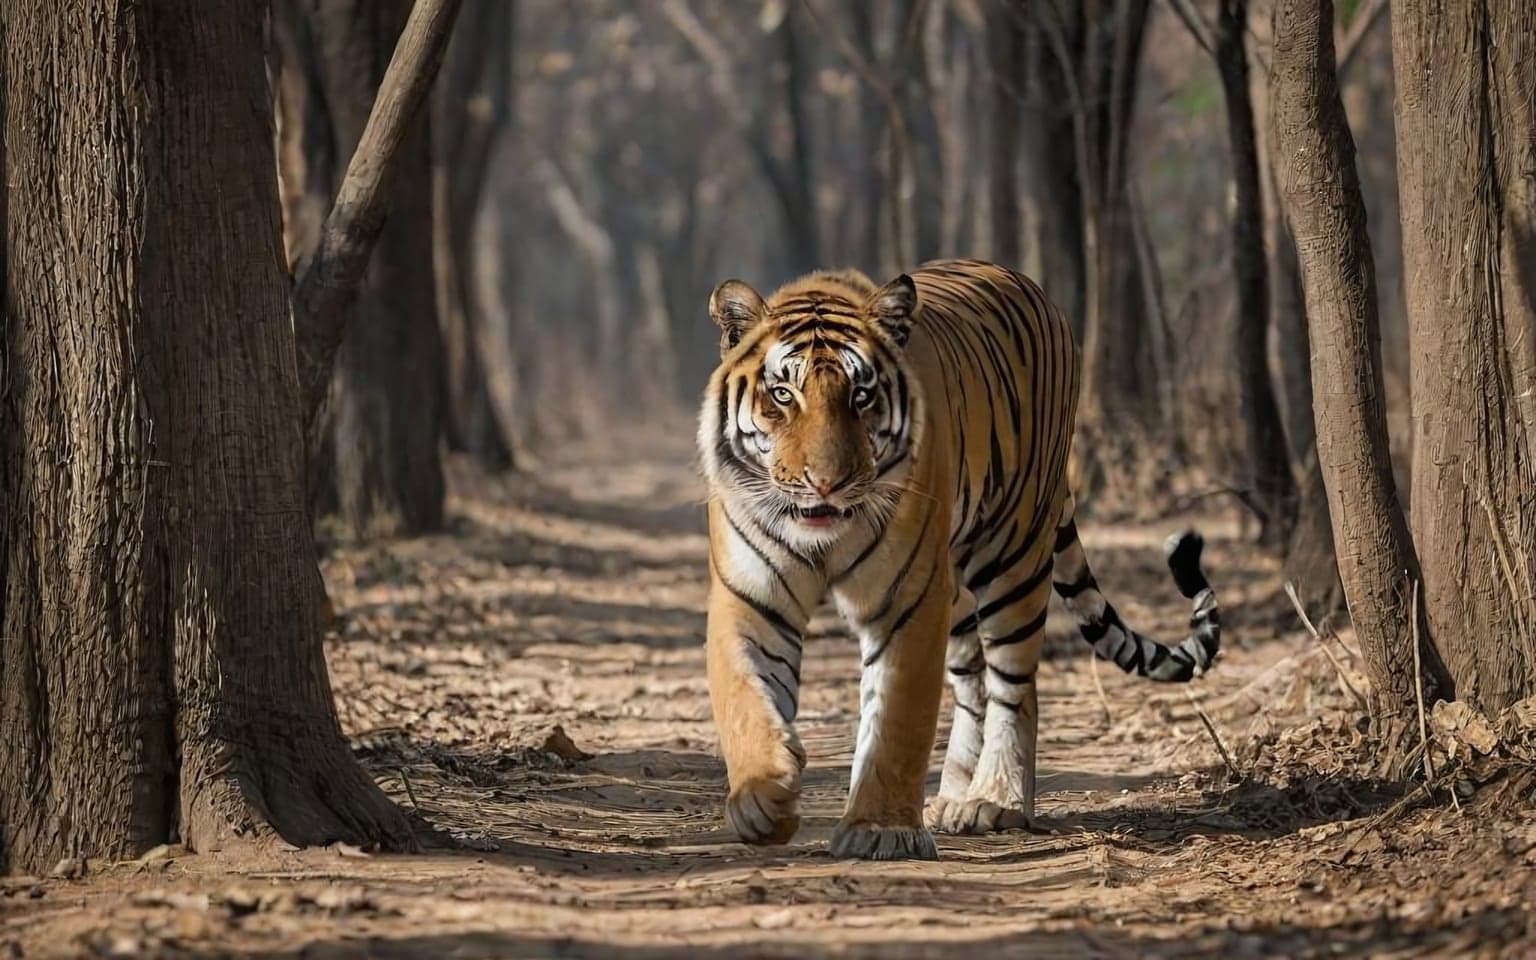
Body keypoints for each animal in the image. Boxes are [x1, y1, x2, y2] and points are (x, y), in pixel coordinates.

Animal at [697, 258, 1220, 860]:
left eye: (861, 395)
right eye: (782, 394)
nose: (827, 484)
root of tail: (1027, 284)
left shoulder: (908, 601)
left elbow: (898, 718)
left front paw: (880, 830)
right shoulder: (751, 597)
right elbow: (744, 697)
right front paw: (763, 797)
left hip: (1014, 554)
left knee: (1015, 687)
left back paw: (996, 799)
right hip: (958, 592)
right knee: (974, 686)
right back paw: (952, 797)